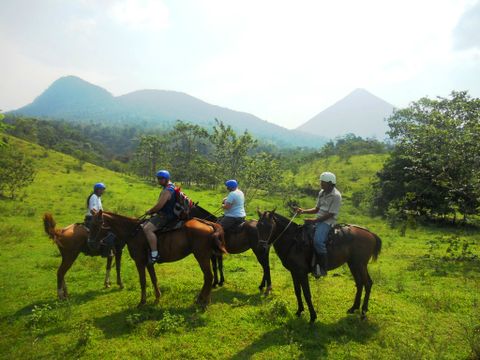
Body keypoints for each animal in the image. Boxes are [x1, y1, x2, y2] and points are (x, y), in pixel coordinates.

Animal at [87, 211, 225, 306]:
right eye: (90, 224)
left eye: (96, 224)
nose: (91, 244)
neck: (133, 232)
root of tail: (209, 224)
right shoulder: (149, 263)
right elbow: (154, 279)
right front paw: (157, 297)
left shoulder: (139, 262)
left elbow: (143, 281)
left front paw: (142, 302)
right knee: (208, 277)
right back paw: (202, 299)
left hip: (201, 256)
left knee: (209, 277)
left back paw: (204, 301)